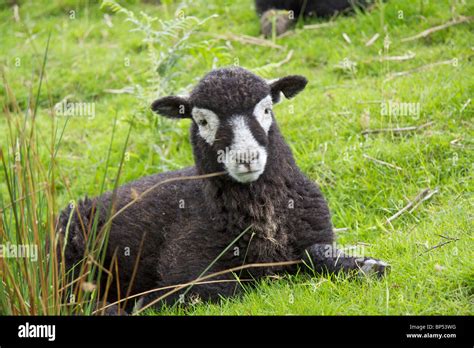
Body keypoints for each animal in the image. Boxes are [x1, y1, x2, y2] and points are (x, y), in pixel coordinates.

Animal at [58, 66, 388, 314]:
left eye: (266, 109)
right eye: (202, 121)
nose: (247, 158)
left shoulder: (315, 235)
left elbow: (316, 254)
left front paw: (365, 265)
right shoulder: (186, 267)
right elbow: (222, 288)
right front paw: (148, 302)